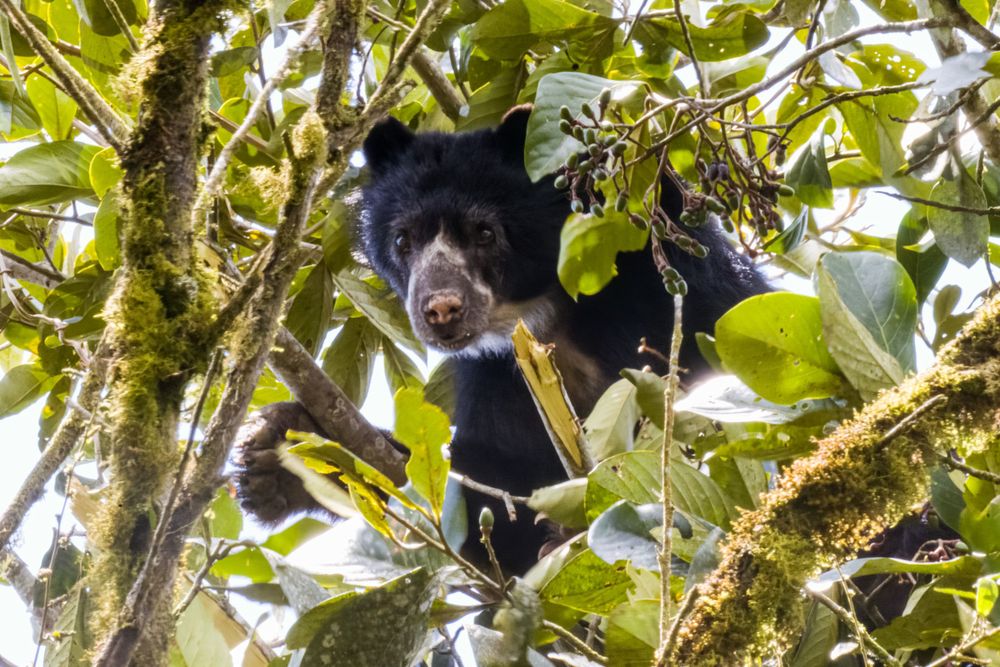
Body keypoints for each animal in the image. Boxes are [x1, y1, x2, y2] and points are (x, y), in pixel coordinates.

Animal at [235, 107, 770, 574]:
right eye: (403, 240)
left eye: (485, 232)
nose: (440, 308)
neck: (547, 312)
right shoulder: (498, 373)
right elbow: (496, 497)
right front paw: (280, 454)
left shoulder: (677, 287)